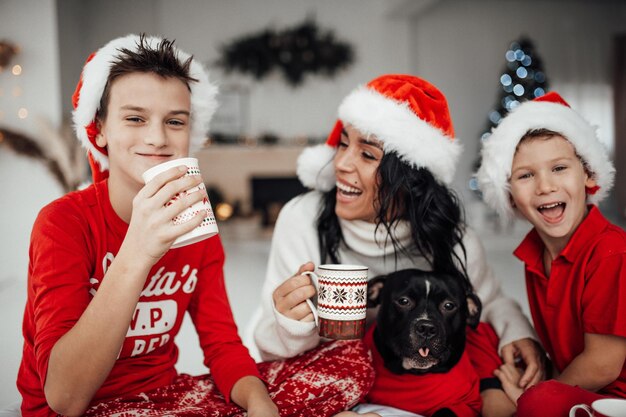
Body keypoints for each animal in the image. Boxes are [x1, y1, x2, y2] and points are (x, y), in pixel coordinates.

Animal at [366, 268, 482, 416]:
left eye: (449, 305)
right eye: (403, 301)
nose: (426, 328)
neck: (416, 373)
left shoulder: (469, 404)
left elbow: (446, 410)